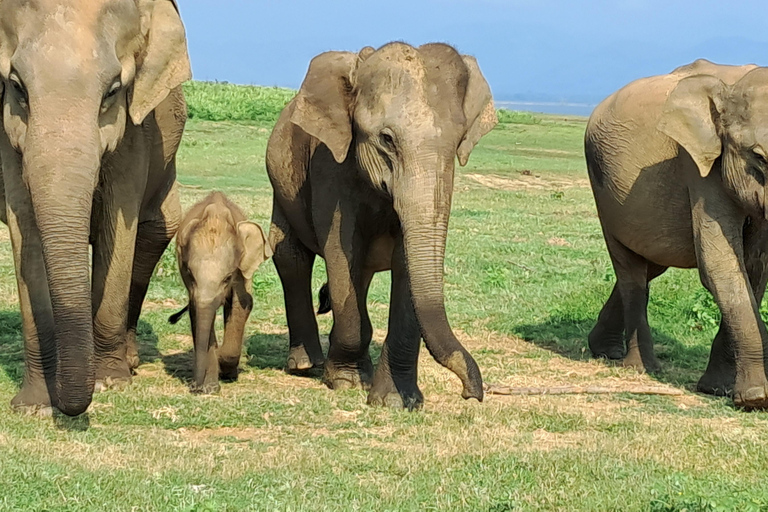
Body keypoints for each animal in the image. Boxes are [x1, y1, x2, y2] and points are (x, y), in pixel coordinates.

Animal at [0, 0, 191, 414]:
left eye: (113, 90)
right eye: (17, 87)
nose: (71, 404)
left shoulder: (137, 131)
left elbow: (118, 228)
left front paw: (109, 383)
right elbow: (25, 228)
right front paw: (35, 405)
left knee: (155, 235)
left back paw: (129, 361)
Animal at [170, 191, 272, 392]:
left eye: (228, 277)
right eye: (190, 273)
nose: (194, 387)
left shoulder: (241, 270)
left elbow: (243, 304)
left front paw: (224, 367)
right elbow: (197, 312)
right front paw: (210, 388)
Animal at [266, 42, 498, 410]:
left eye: (459, 140)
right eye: (387, 139)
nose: (471, 393)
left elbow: (405, 264)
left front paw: (396, 401)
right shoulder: (330, 165)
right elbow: (341, 251)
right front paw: (347, 383)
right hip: (281, 180)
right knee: (291, 256)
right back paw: (305, 365)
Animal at [584, 60, 768, 410]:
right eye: (760, 158)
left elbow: (754, 267)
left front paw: (716, 389)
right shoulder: (699, 166)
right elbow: (721, 265)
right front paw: (756, 398)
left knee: (652, 265)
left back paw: (603, 350)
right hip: (603, 190)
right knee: (631, 272)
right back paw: (641, 367)